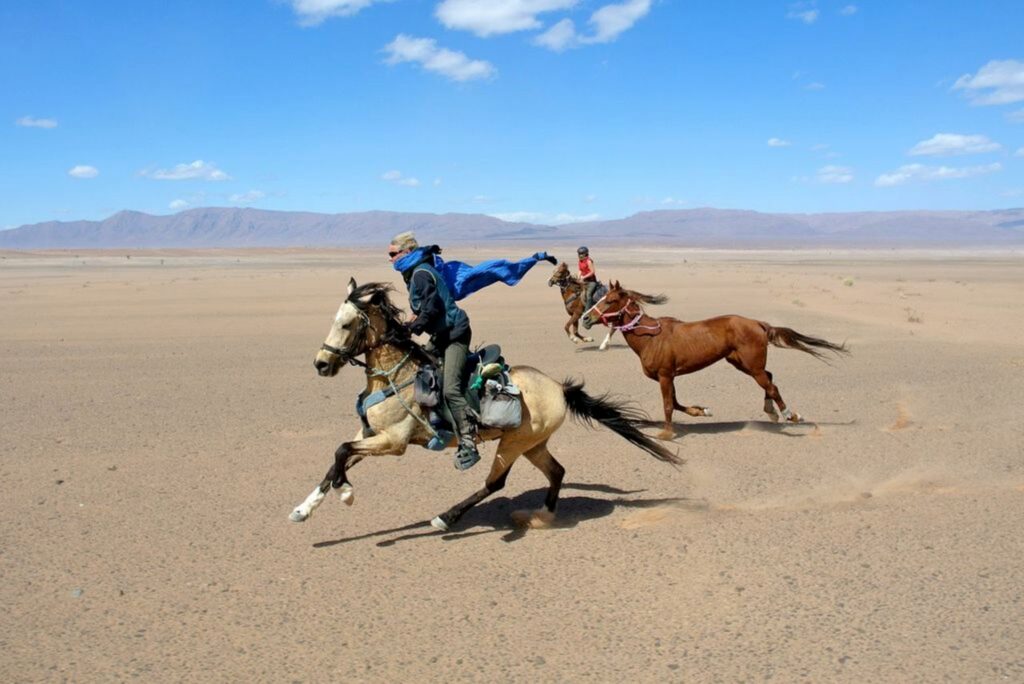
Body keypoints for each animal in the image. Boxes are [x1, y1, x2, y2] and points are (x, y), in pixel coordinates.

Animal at [288, 280, 679, 532]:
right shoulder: (369, 433)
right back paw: (541, 516)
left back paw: (446, 517)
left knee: (496, 483)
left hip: (513, 443)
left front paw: (347, 493)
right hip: (533, 443)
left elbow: (341, 452)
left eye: (346, 324)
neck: (395, 374)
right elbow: (337, 458)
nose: (321, 364)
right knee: (557, 472)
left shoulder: (393, 442)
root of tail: (558, 388)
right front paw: (304, 509)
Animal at [585, 280, 847, 440]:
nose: (586, 318)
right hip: (742, 363)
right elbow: (677, 403)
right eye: (601, 298)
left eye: (609, 300)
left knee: (772, 386)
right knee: (770, 379)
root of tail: (758, 323)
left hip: (751, 365)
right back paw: (771, 411)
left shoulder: (665, 375)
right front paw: (702, 410)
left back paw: (789, 415)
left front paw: (667, 433)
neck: (650, 337)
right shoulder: (670, 376)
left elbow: (669, 404)